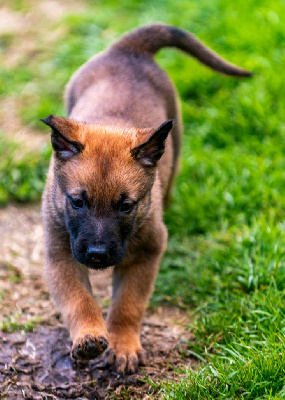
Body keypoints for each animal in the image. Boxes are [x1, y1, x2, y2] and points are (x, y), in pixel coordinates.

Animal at [40, 24, 248, 376]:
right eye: (77, 202)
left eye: (126, 206)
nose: (97, 256)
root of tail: (128, 48)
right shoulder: (60, 254)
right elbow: (78, 300)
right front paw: (89, 336)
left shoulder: (147, 253)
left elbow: (128, 304)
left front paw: (123, 345)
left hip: (175, 140)